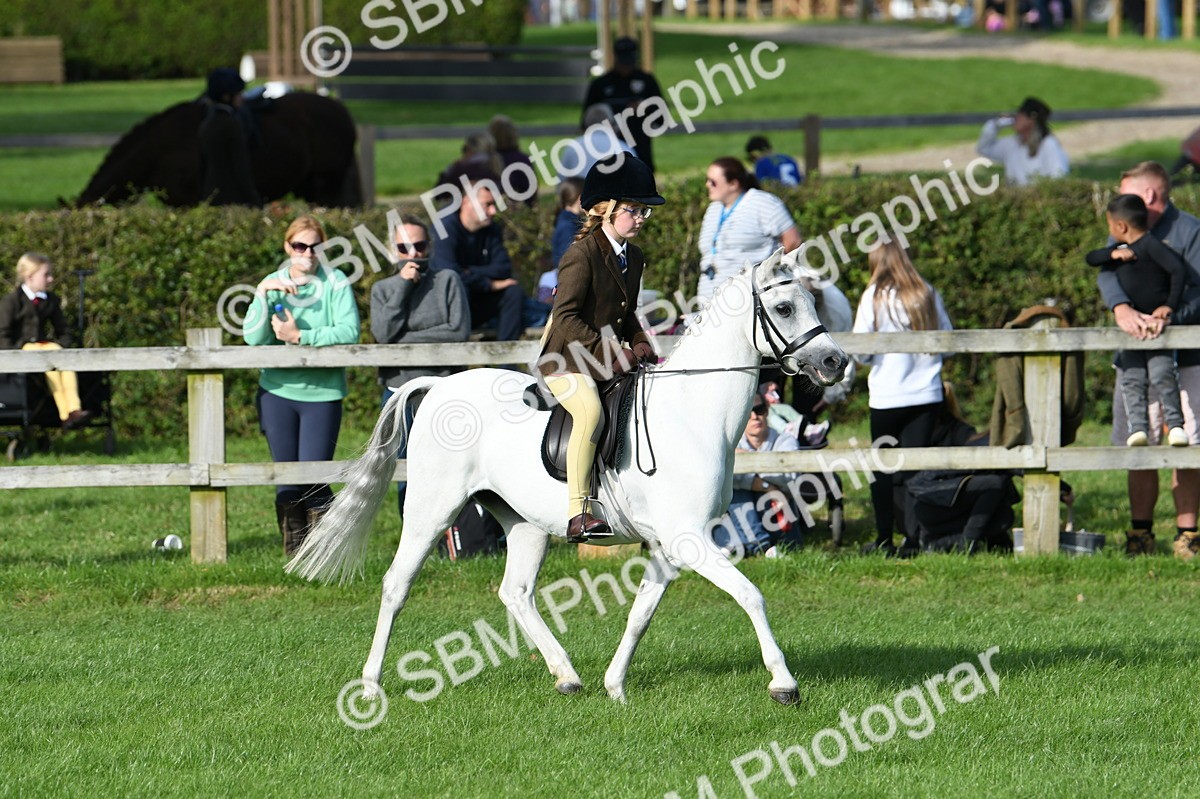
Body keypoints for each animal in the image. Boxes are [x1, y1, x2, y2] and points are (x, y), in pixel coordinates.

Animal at [286, 249, 849, 704]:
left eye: (813, 302)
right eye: (784, 308)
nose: (835, 362)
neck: (691, 411)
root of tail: (438, 386)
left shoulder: (668, 544)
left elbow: (641, 613)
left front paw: (615, 686)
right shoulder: (688, 539)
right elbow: (750, 595)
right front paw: (784, 684)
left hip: (524, 523)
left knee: (515, 592)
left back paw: (567, 675)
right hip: (432, 509)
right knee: (396, 585)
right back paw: (370, 685)